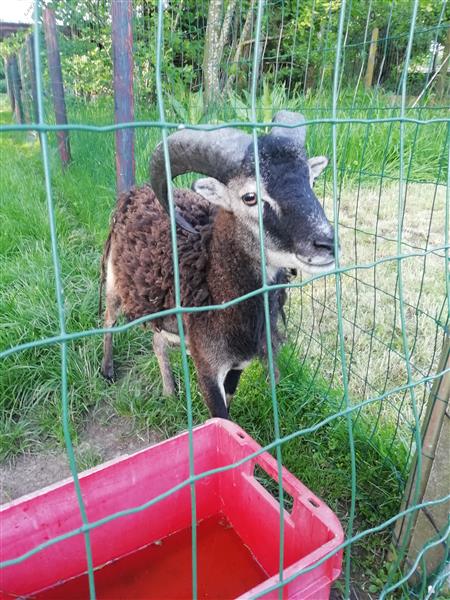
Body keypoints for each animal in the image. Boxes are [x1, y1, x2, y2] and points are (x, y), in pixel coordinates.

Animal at [100, 111, 336, 418]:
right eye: (249, 197)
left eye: (310, 181)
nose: (326, 243)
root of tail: (134, 192)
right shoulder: (207, 367)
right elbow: (220, 415)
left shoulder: (238, 363)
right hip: (113, 282)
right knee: (108, 321)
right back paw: (107, 371)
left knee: (157, 340)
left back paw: (170, 391)